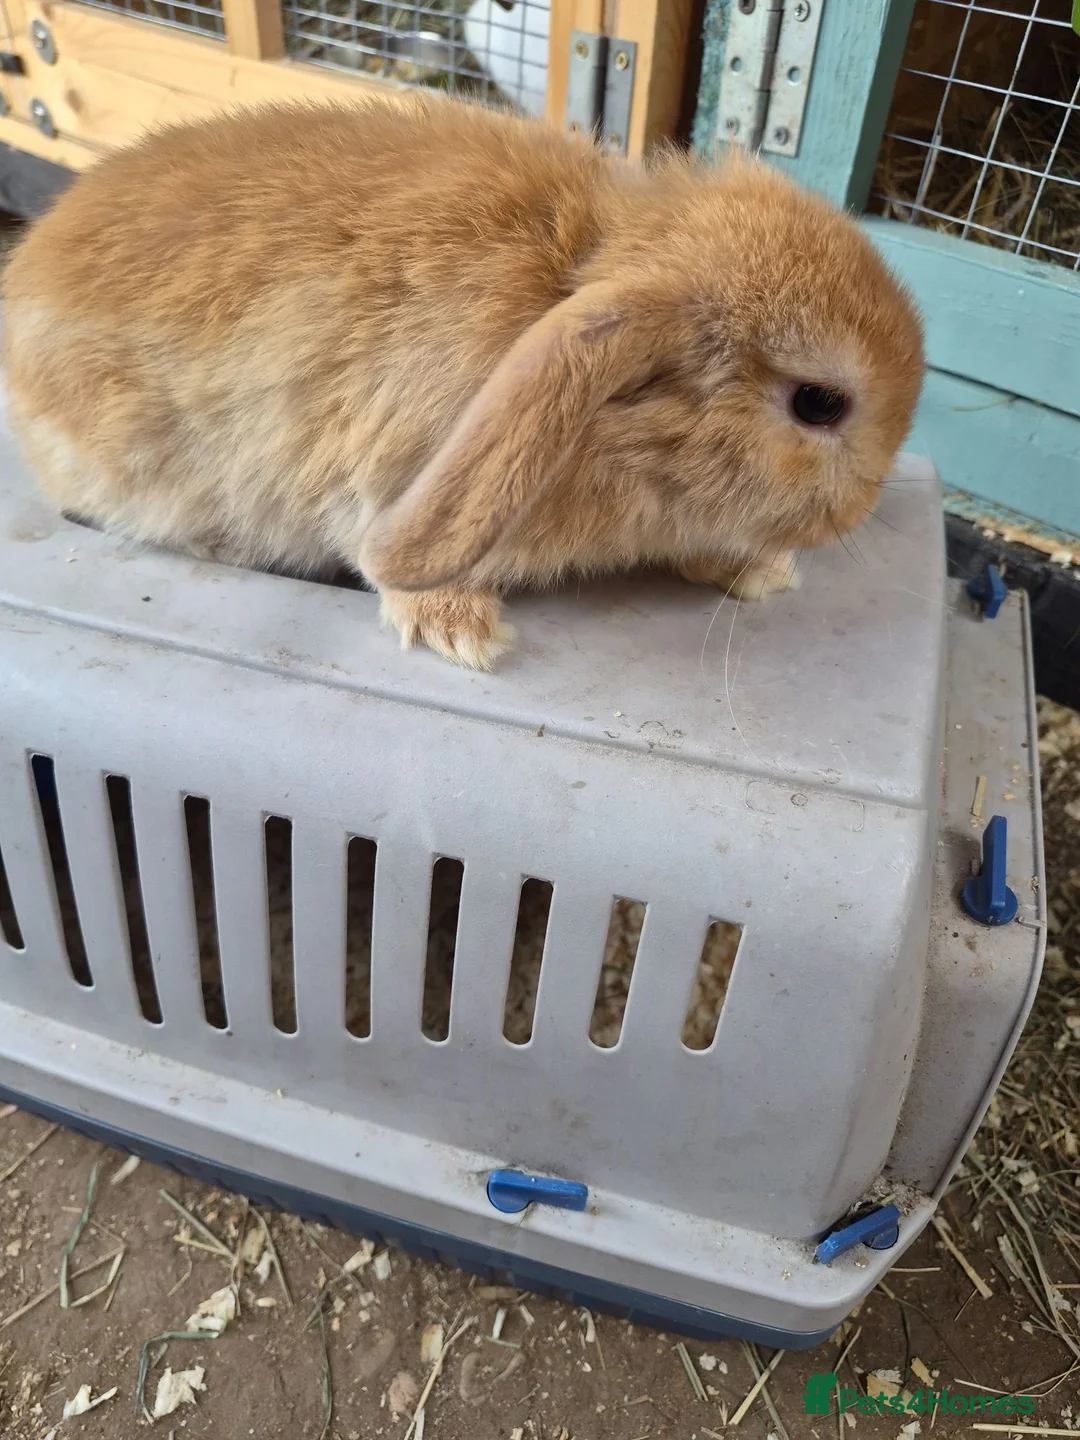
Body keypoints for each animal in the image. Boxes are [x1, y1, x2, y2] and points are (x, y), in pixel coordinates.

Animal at [3, 97, 924, 670]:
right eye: (819, 404)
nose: (862, 508)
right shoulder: (381, 468)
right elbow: (379, 555)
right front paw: (464, 633)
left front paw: (765, 574)